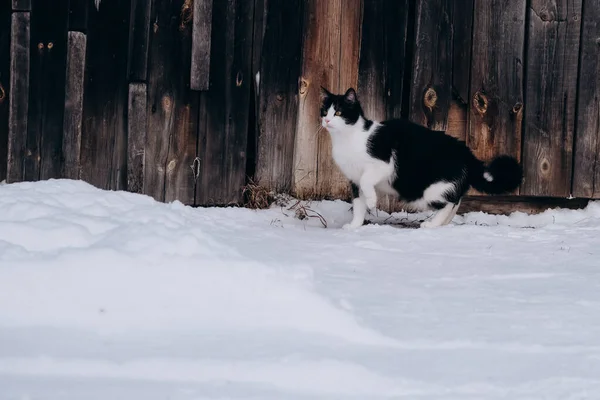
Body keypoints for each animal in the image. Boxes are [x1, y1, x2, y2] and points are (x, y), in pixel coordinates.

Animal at [322, 86, 524, 228]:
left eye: (339, 112)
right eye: (324, 112)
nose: (327, 120)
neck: (348, 138)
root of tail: (466, 152)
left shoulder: (384, 165)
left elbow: (367, 181)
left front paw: (372, 201)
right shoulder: (354, 179)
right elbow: (358, 204)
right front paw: (354, 226)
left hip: (431, 189)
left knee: (448, 202)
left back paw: (432, 224)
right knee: (455, 200)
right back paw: (442, 224)